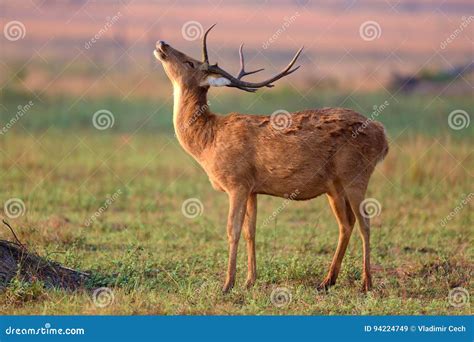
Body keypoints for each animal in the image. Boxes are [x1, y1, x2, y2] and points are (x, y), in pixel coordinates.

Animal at [154, 26, 386, 294]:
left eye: (190, 62)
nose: (162, 43)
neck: (207, 142)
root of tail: (383, 136)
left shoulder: (237, 182)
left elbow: (232, 230)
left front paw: (227, 284)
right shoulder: (252, 188)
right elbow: (250, 231)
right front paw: (249, 280)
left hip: (356, 174)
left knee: (365, 223)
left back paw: (366, 283)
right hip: (334, 186)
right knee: (346, 223)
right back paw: (327, 280)